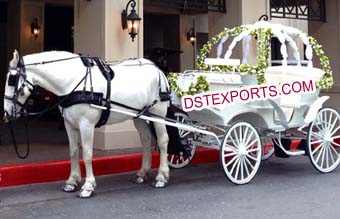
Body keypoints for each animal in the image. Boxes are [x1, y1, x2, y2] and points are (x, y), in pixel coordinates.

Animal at [3, 50, 170, 198]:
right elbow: (73, 151)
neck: (73, 82)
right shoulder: (69, 124)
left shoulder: (86, 124)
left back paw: (161, 176)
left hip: (159, 112)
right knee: (146, 140)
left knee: (163, 140)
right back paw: (142, 173)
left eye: (11, 79)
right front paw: (71, 181)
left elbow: (87, 154)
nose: (6, 113)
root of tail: (157, 69)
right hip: (140, 116)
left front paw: (88, 186)